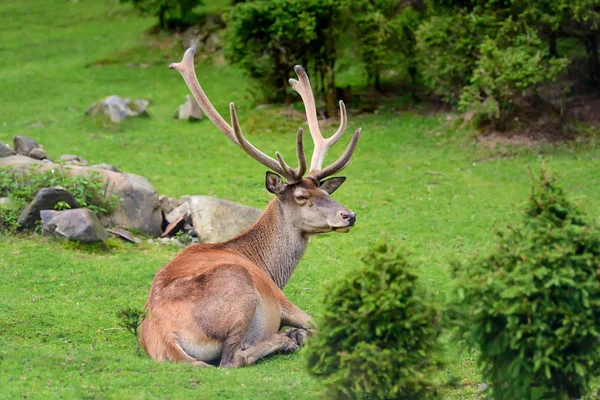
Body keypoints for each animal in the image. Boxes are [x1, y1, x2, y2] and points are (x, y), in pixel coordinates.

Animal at [141, 48, 360, 370]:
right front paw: (297, 335)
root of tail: (166, 337)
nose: (349, 215)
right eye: (302, 196)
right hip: (239, 291)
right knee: (231, 359)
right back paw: (286, 340)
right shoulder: (282, 300)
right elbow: (316, 323)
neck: (271, 270)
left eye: (324, 191)